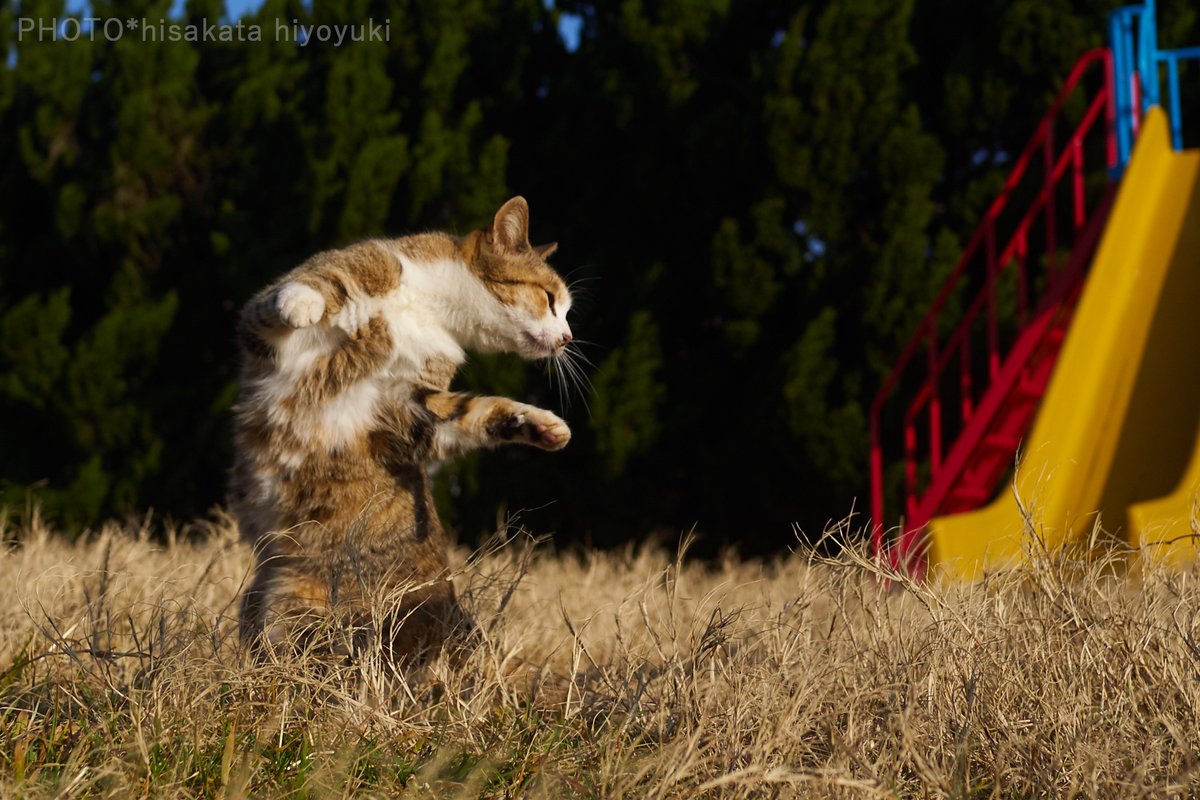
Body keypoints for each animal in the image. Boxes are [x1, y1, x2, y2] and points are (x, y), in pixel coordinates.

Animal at [231, 196, 578, 662]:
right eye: (550, 299)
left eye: (567, 310)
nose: (568, 337)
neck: (428, 310)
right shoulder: (266, 331)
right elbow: (309, 287)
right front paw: (303, 304)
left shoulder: (409, 407)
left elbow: (475, 411)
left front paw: (545, 426)